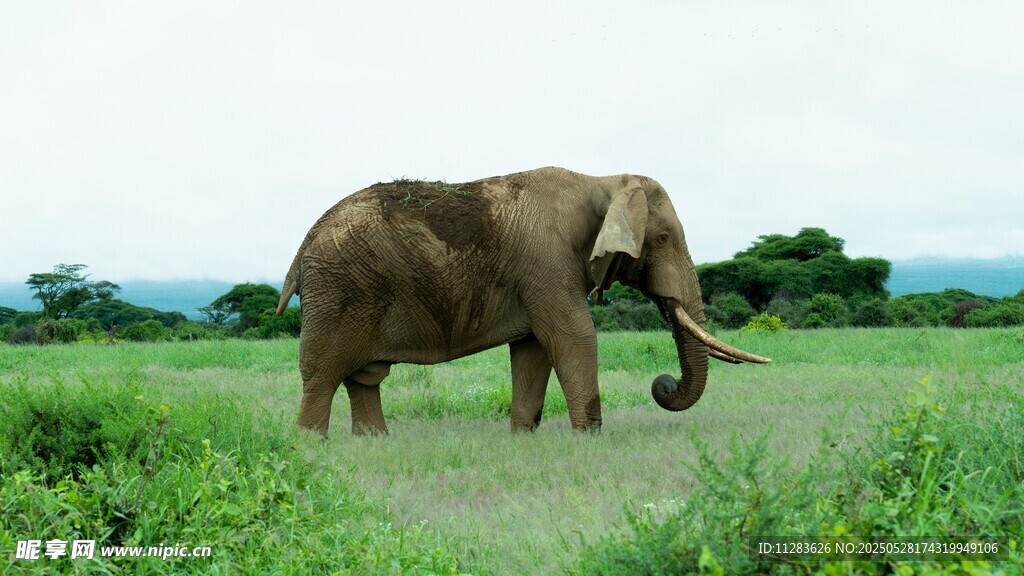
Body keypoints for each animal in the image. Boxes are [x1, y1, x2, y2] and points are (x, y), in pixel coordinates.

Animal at [276, 167, 770, 436]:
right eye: (663, 238)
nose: (663, 384)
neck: (603, 181)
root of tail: (301, 248)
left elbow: (533, 350)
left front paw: (522, 437)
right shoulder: (546, 263)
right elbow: (573, 338)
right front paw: (589, 440)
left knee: (364, 378)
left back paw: (375, 442)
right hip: (339, 290)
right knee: (321, 377)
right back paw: (312, 449)